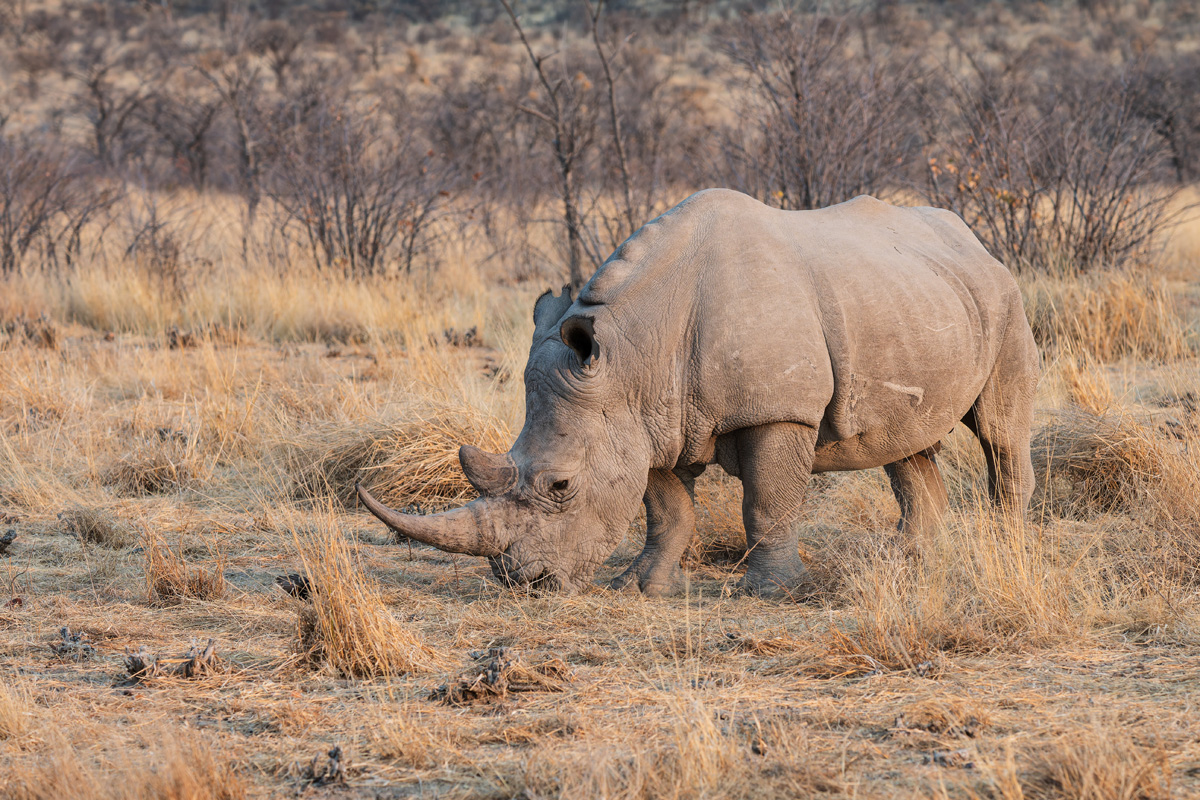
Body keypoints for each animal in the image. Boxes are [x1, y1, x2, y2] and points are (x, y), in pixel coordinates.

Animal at [358, 190, 1039, 597]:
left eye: (561, 487)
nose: (524, 581)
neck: (632, 350)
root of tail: (972, 240)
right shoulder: (647, 420)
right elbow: (666, 511)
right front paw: (639, 587)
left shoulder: (776, 413)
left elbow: (766, 504)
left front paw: (769, 593)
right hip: (915, 299)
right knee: (905, 443)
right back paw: (912, 563)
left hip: (1005, 297)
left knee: (1000, 430)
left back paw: (1004, 548)